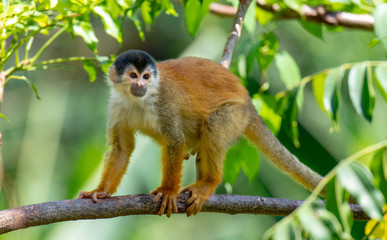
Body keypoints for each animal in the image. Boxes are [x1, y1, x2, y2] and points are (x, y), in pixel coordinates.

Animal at [78, 49, 322, 217]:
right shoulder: (116, 106)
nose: (140, 85)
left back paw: (209, 182)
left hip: (235, 113)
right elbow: (122, 148)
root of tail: (249, 104)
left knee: (214, 126)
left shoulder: (164, 102)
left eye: (146, 76)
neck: (137, 100)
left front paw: (168, 191)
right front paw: (101, 192)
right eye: (133, 75)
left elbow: (174, 141)